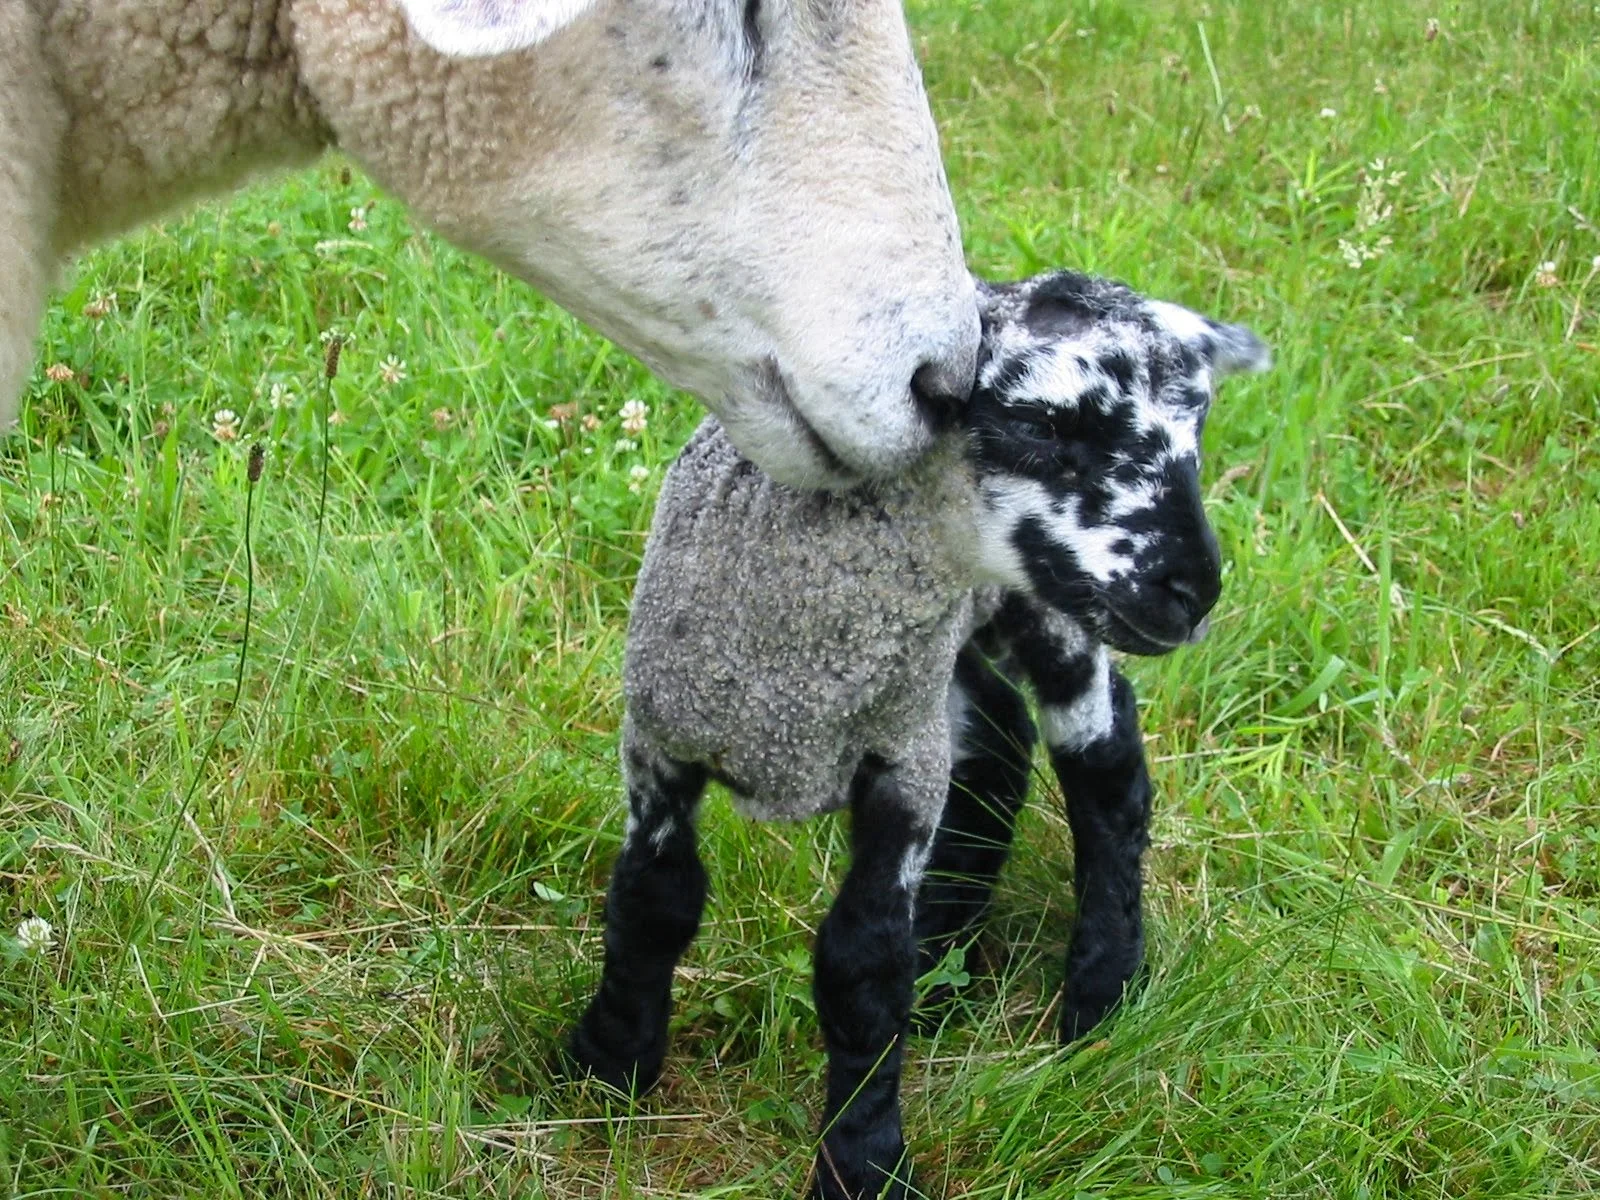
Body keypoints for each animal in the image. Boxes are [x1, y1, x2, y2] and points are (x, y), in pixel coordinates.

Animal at [563, 269, 1270, 1199]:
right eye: (1041, 424)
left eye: (1198, 433)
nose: (1193, 592)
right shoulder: (664, 741)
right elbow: (653, 898)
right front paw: (609, 1068)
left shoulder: (899, 761)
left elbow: (862, 962)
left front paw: (864, 1159)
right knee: (1001, 738)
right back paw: (948, 958)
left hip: (1048, 615)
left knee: (1104, 766)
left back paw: (1100, 988)